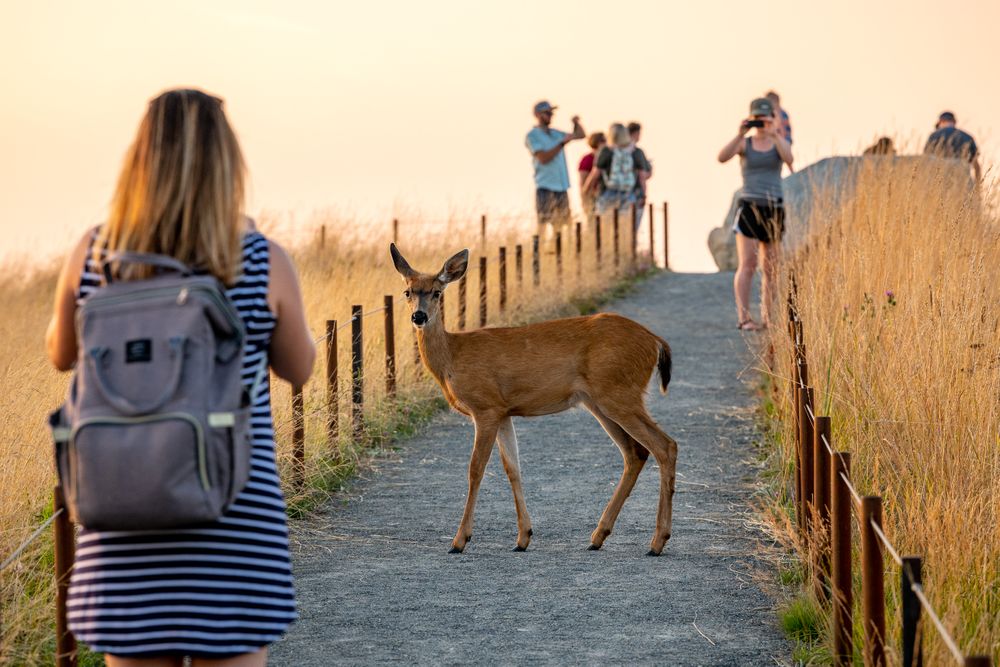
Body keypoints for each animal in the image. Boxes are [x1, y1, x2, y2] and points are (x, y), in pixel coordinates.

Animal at [390, 243, 680, 556]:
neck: (452, 359)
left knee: (665, 446)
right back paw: (598, 536)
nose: (419, 317)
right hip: (601, 402)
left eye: (437, 292)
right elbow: (513, 469)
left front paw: (459, 540)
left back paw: (656, 542)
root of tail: (655, 341)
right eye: (407, 291)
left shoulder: (485, 407)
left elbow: (475, 469)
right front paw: (523, 537)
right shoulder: (504, 412)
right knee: (635, 453)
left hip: (620, 393)